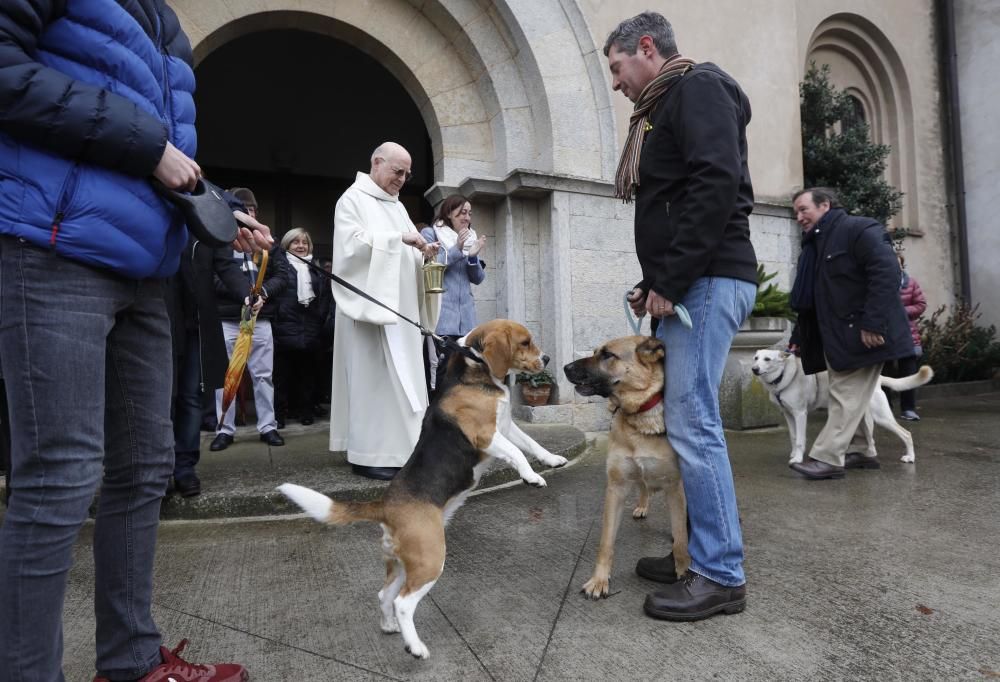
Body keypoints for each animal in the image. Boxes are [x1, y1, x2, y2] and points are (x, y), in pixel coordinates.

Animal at [278, 320, 568, 660]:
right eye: (525, 342)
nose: (546, 359)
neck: (475, 368)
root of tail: (385, 505)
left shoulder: (506, 427)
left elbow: (532, 444)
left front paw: (551, 460)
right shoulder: (486, 435)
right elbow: (519, 453)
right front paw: (531, 477)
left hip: (404, 563)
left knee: (384, 594)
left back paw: (390, 627)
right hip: (430, 558)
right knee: (403, 603)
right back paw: (415, 646)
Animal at [564, 334, 688, 596]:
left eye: (607, 355)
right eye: (594, 351)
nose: (565, 368)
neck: (639, 416)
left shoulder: (675, 486)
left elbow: (681, 539)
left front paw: (683, 573)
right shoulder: (616, 487)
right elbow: (605, 542)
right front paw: (599, 580)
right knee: (643, 486)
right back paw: (642, 505)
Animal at [752, 348, 932, 464]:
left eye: (767, 359)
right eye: (755, 358)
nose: (754, 369)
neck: (781, 377)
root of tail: (878, 378)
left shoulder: (800, 414)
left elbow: (800, 439)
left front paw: (797, 458)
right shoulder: (788, 415)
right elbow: (793, 437)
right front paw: (793, 454)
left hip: (882, 417)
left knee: (906, 434)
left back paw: (910, 457)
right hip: (863, 417)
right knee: (871, 441)